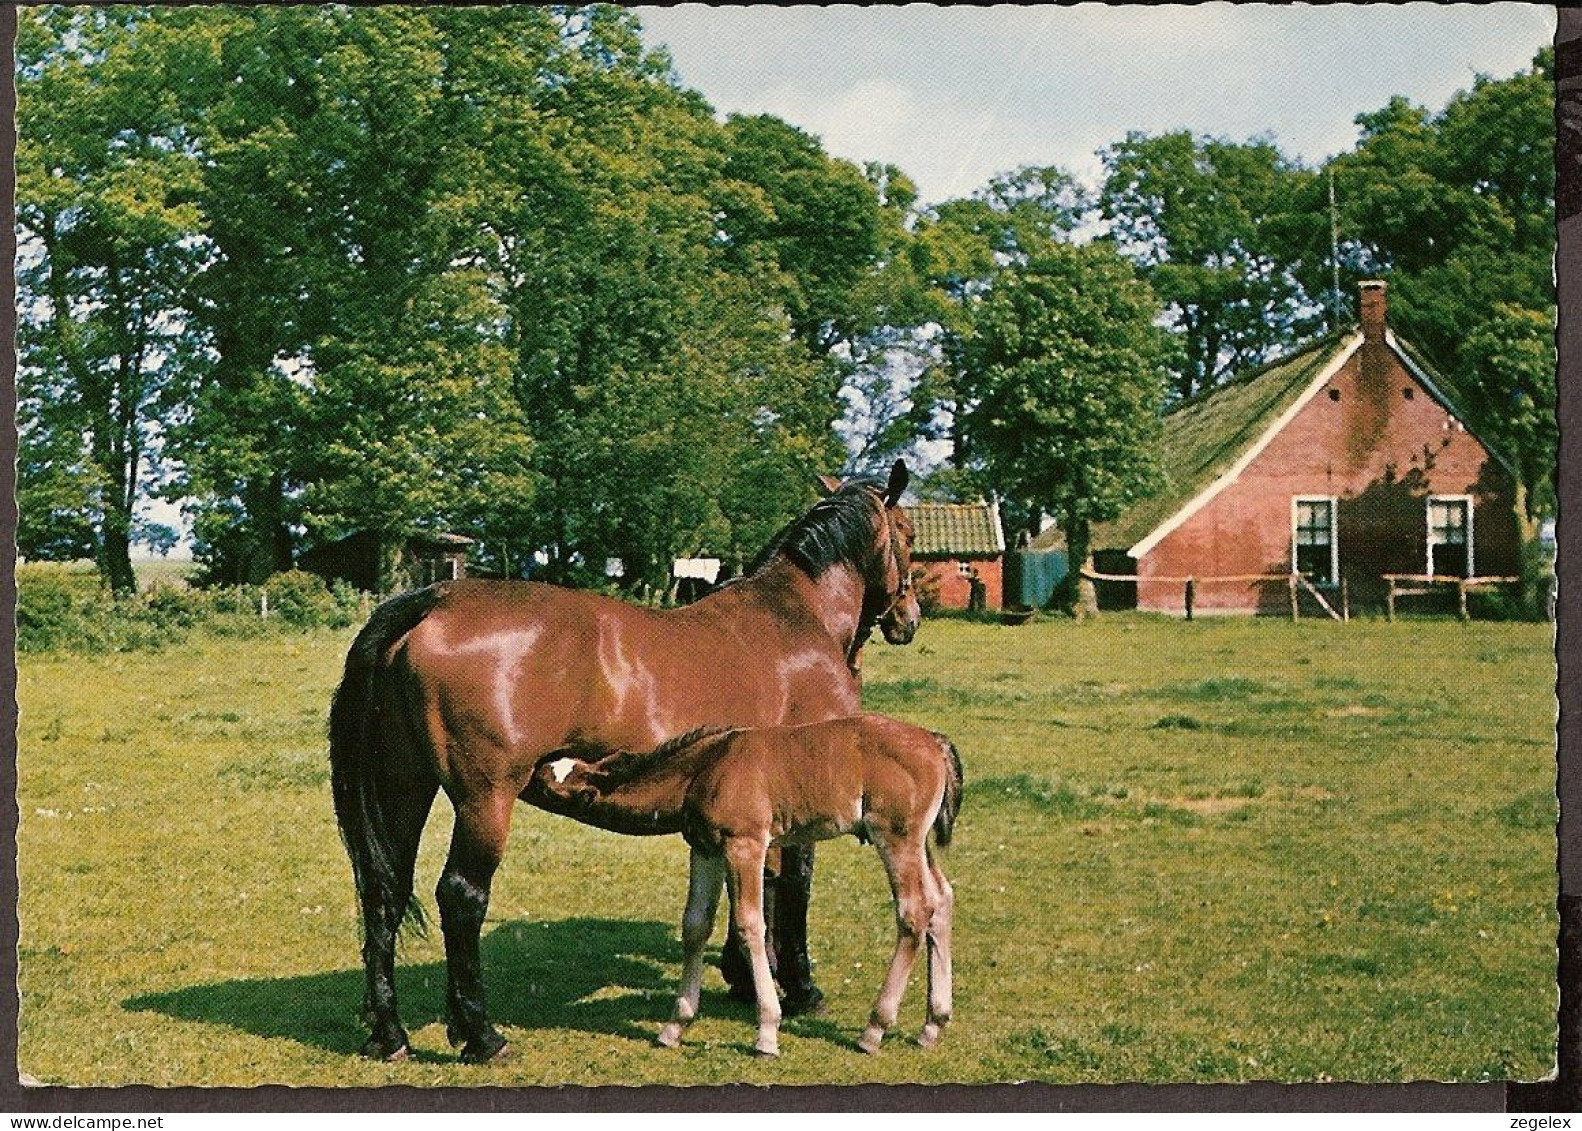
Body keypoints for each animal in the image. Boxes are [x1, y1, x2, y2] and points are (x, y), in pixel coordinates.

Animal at [525, 718, 955, 1062]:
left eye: (548, 784)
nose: (530, 770)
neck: (706, 768)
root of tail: (936, 743)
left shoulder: (745, 845)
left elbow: (750, 925)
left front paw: (767, 1033)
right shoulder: (705, 849)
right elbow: (695, 926)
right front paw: (674, 1027)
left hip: (895, 837)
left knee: (914, 912)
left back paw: (874, 1030)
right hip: (919, 843)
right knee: (942, 899)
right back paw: (933, 1025)